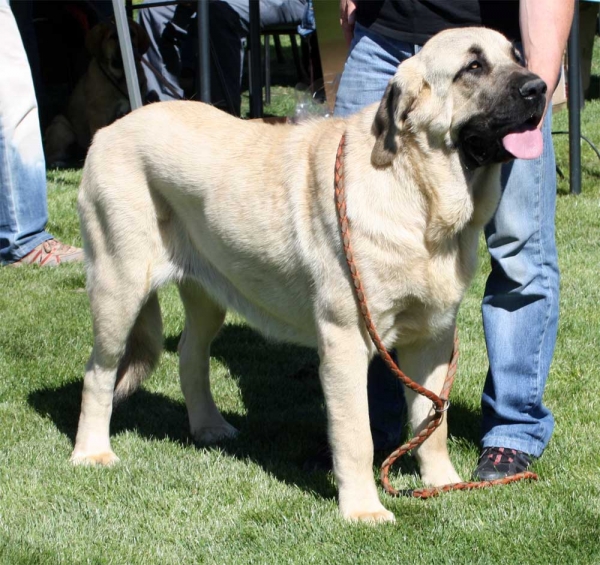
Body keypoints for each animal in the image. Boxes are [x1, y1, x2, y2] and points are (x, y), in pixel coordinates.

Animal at [43, 19, 149, 167]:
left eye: (132, 34)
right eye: (112, 37)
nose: (131, 50)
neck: (120, 77)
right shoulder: (98, 114)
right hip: (60, 125)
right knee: (52, 153)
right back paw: (58, 162)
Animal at [71, 26, 548, 520]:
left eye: (517, 55)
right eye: (473, 67)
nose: (539, 88)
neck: (418, 195)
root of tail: (107, 131)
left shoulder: (432, 337)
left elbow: (433, 422)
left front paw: (444, 483)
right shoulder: (345, 338)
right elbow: (357, 434)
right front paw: (363, 511)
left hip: (208, 291)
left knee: (189, 354)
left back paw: (209, 427)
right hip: (119, 286)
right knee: (98, 372)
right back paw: (92, 452)